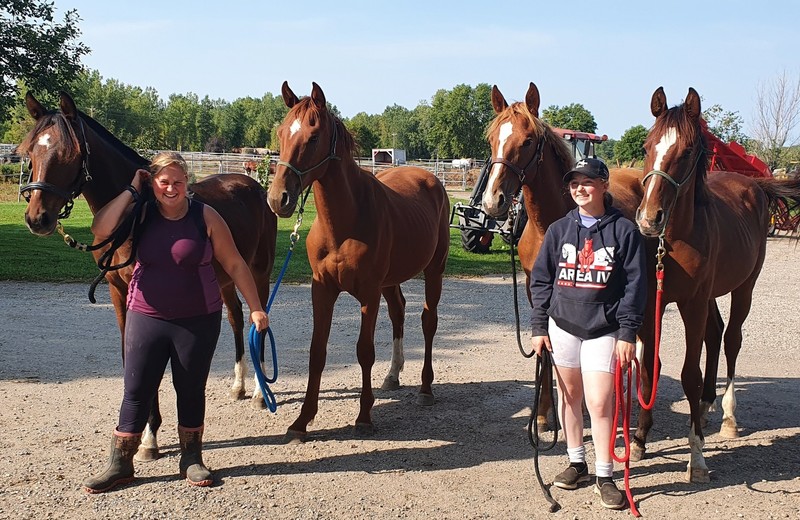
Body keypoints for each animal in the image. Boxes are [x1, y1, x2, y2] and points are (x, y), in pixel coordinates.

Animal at [18, 92, 278, 460]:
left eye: (68, 154)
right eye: (29, 151)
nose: (37, 218)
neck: (134, 214)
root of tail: (253, 185)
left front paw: (149, 437)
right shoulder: (117, 290)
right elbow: (133, 357)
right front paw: (143, 436)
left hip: (258, 271)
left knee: (260, 318)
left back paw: (258, 392)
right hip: (227, 276)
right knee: (237, 319)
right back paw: (239, 385)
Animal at [264, 81, 446, 438]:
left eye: (314, 136)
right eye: (280, 133)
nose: (279, 198)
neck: (344, 225)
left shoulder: (369, 293)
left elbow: (364, 351)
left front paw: (363, 417)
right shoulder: (321, 290)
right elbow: (317, 352)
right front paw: (302, 421)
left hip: (434, 270)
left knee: (428, 321)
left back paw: (426, 389)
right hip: (391, 281)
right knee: (399, 312)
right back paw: (392, 376)